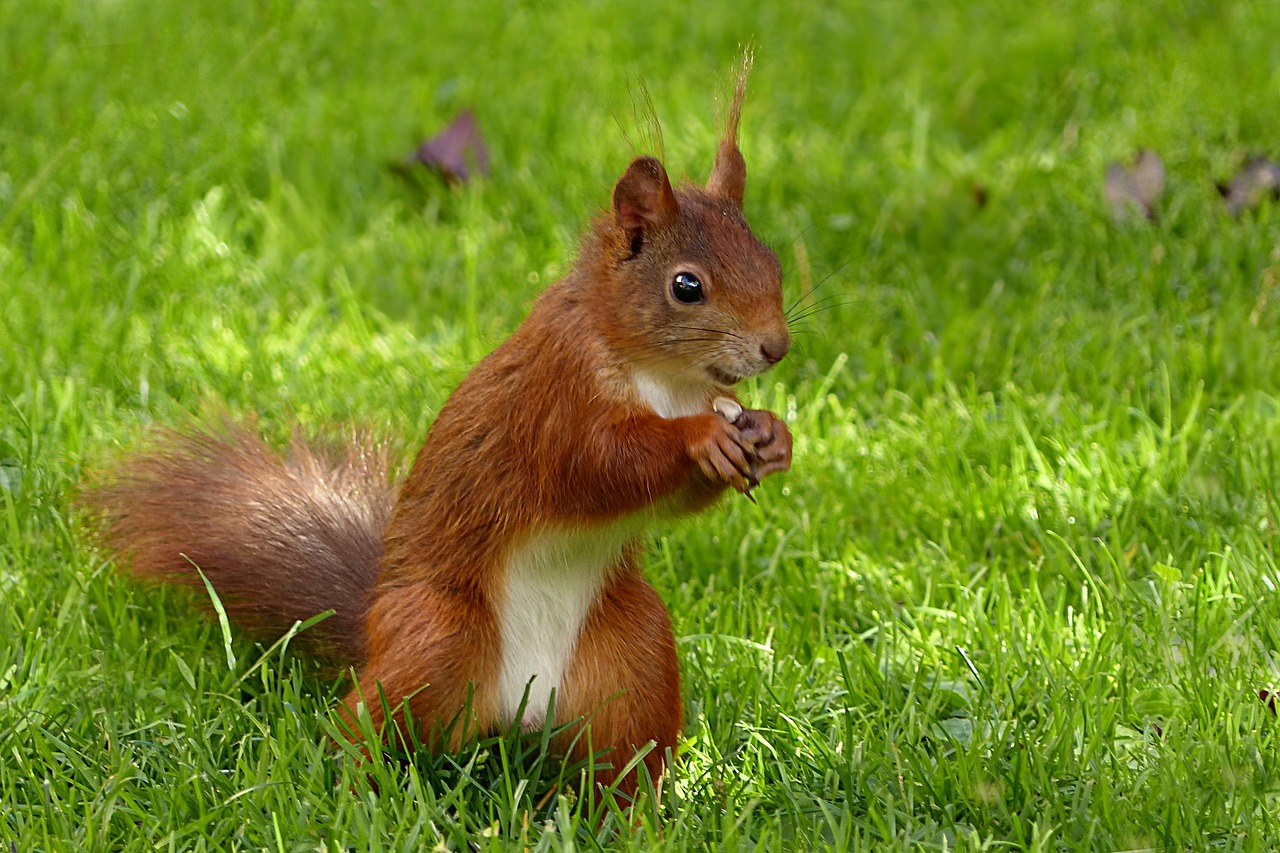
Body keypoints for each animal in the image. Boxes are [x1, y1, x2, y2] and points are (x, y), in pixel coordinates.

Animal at [85, 59, 788, 799]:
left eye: (771, 261)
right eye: (687, 286)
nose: (776, 347)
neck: (663, 378)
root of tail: (519, 708)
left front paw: (773, 437)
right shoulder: (553, 401)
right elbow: (601, 463)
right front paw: (699, 440)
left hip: (634, 653)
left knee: (623, 753)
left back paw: (633, 810)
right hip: (437, 636)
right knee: (370, 718)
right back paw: (350, 786)